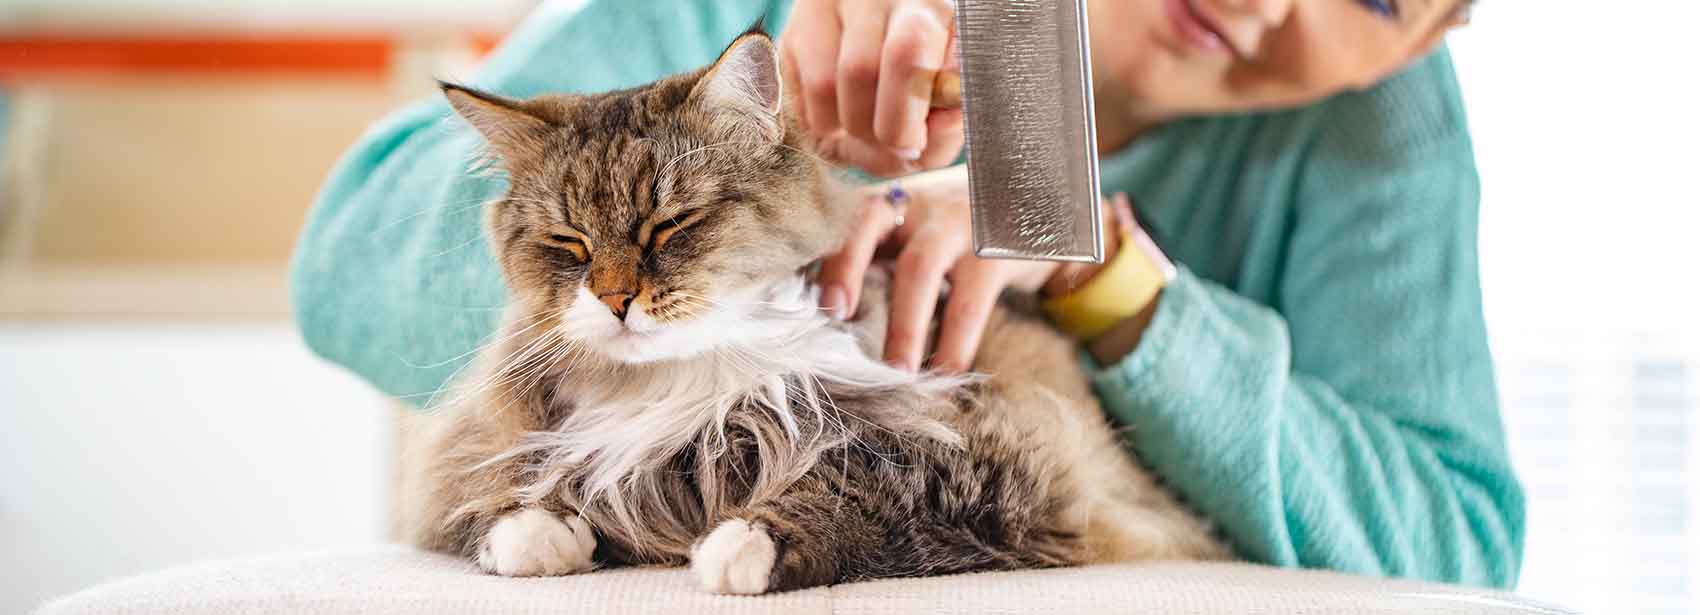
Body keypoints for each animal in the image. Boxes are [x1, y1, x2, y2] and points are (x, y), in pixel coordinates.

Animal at [404, 23, 1230, 594]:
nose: (613, 300)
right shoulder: (481, 446)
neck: (685, 383)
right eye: (569, 244)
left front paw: (742, 543)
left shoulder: (1006, 450)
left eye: (670, 225)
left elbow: (863, 482)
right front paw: (536, 530)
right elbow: (496, 491)